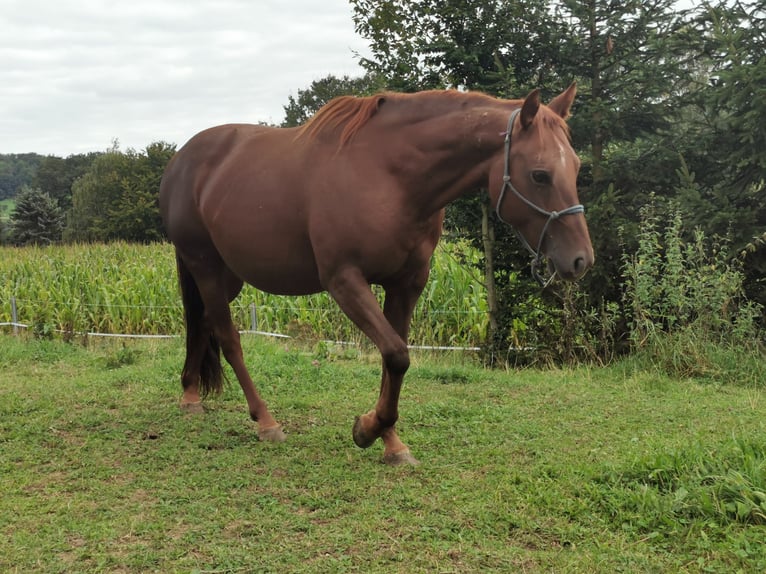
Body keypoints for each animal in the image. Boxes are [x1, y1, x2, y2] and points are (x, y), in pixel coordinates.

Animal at [160, 82, 592, 468]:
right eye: (539, 175)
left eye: (576, 167)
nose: (581, 261)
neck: (389, 176)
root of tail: (181, 161)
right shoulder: (344, 280)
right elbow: (397, 354)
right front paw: (368, 429)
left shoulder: (407, 284)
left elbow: (393, 358)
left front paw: (391, 442)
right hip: (205, 266)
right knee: (227, 337)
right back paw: (265, 421)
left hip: (227, 277)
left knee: (202, 323)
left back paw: (190, 395)